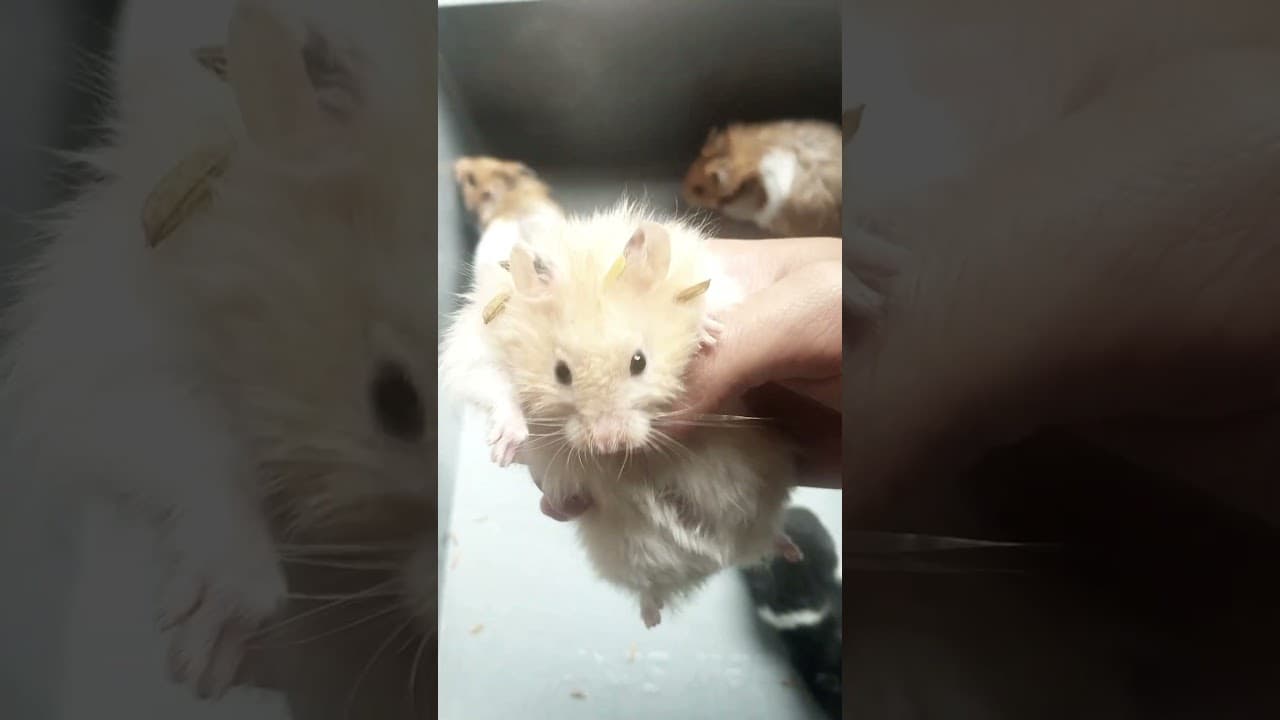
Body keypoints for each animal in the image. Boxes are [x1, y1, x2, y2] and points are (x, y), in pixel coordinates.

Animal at [459, 200, 802, 628]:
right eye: (561, 373)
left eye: (639, 362)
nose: (609, 443)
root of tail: (720, 559)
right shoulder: (476, 347)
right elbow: (494, 386)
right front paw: (505, 450)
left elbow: (711, 304)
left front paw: (706, 330)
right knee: (651, 589)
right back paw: (651, 617)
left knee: (768, 537)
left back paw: (791, 552)